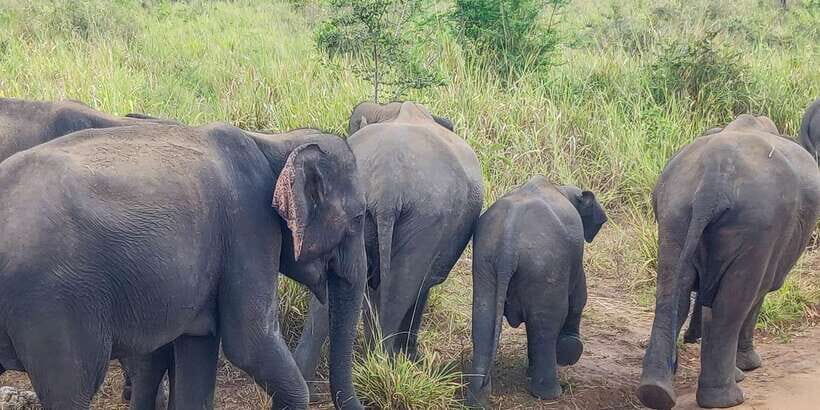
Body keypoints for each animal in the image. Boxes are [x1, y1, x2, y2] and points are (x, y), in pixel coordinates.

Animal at [0, 123, 367, 410]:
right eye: (359, 217)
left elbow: (198, 344)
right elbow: (250, 343)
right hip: (54, 303)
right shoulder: (247, 228)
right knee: (71, 389)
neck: (274, 142)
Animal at [292, 101, 483, 392]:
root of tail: (387, 188)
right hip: (427, 219)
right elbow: (418, 288)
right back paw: (384, 364)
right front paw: (411, 358)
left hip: (347, 211)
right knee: (402, 287)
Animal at [464, 176, 607, 408]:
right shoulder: (574, 258)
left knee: (484, 319)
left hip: (486, 262)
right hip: (544, 264)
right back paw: (550, 394)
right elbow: (578, 297)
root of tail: (508, 244)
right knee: (546, 323)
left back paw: (477, 400)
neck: (560, 188)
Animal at [637, 114, 820, 409]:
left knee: (672, 291)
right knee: (733, 302)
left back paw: (655, 392)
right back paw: (726, 399)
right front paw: (747, 368)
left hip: (675, 209)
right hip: (757, 222)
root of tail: (713, 177)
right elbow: (756, 292)